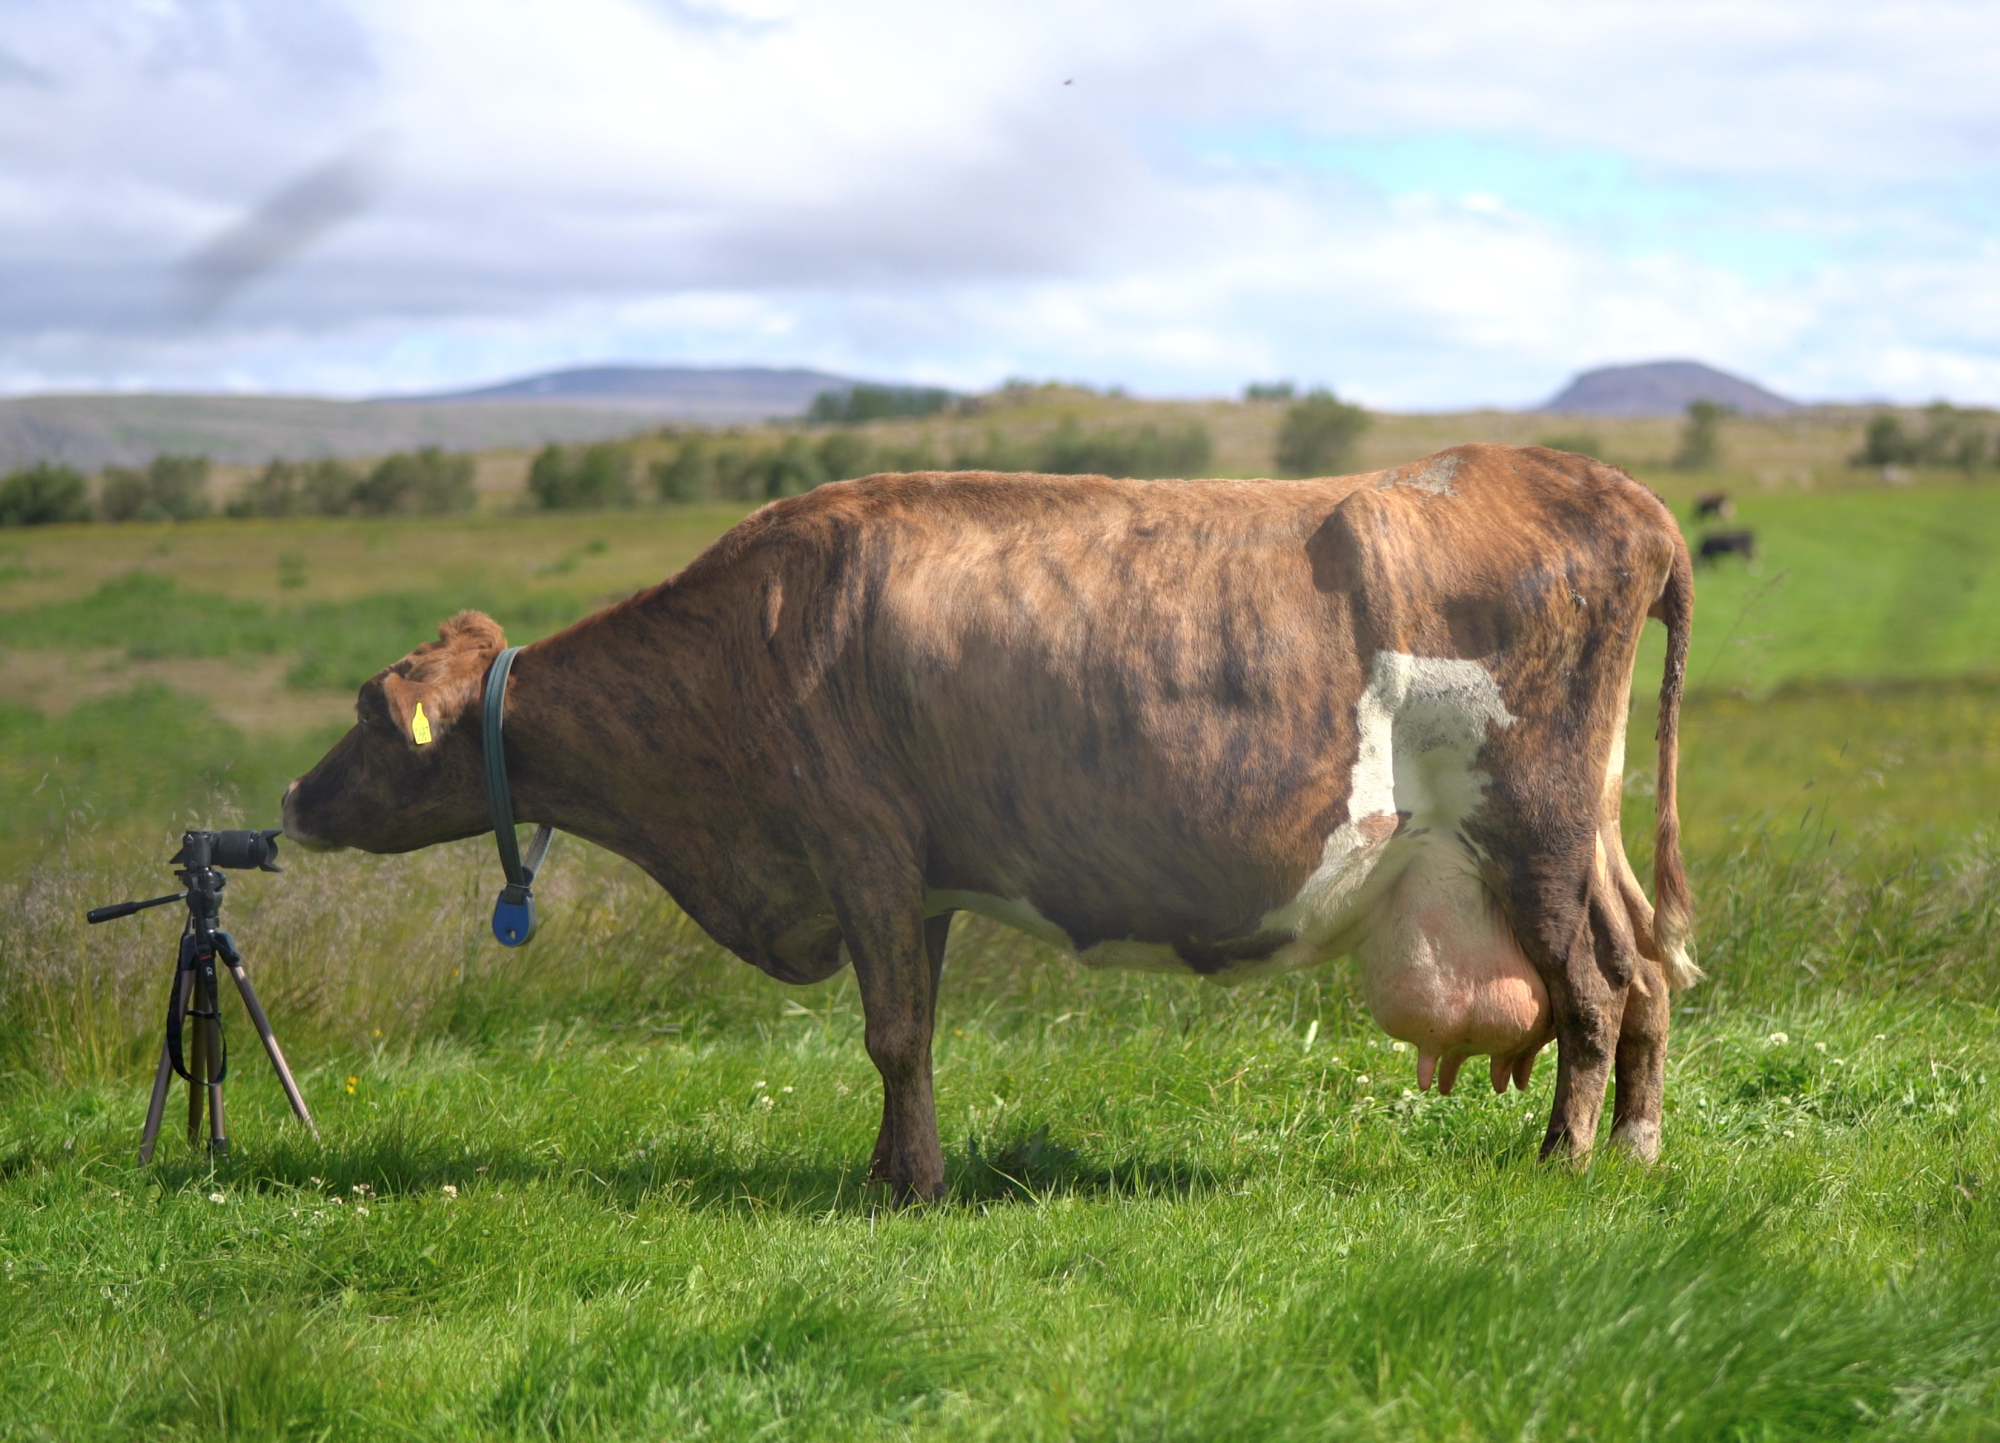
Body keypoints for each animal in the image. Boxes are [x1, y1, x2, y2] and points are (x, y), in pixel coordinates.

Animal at [282, 443, 1696, 1199]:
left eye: (364, 713)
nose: (295, 799)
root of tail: (1617, 494)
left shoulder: (856, 844)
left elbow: (893, 1032)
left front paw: (908, 1188)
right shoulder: (914, 879)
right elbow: (908, 1029)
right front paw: (883, 1168)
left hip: (1531, 822)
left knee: (1589, 986)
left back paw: (1570, 1156)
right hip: (1583, 827)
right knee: (1642, 967)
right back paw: (1633, 1142)